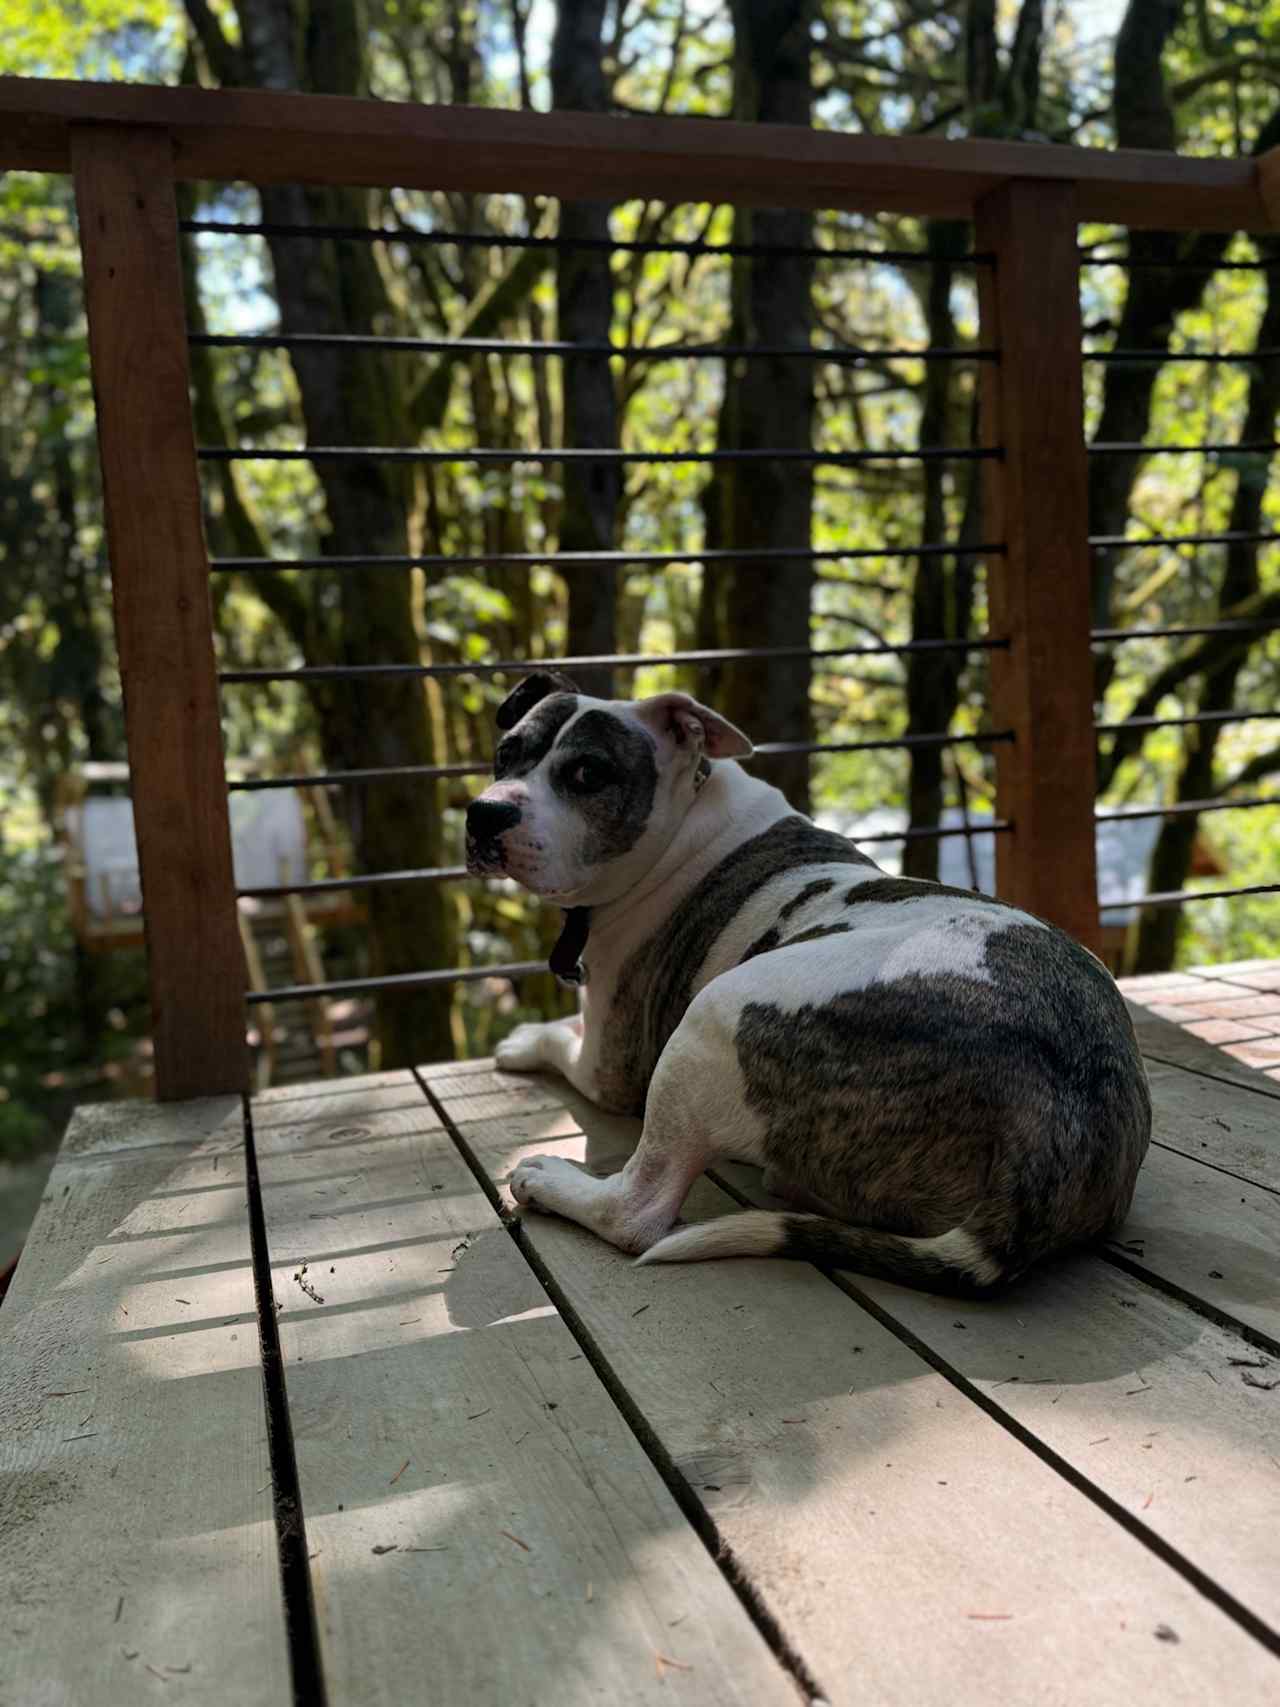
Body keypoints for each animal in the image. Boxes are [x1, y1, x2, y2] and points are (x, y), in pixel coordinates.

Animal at [467, 665, 1153, 1290]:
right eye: (506, 754)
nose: (484, 814)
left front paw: (526, 1040)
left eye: (588, 774)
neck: (683, 822)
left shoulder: (612, 1066)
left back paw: (552, 1180)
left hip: (714, 1014)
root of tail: (1061, 1118)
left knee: (637, 1209)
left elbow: (567, 1044)